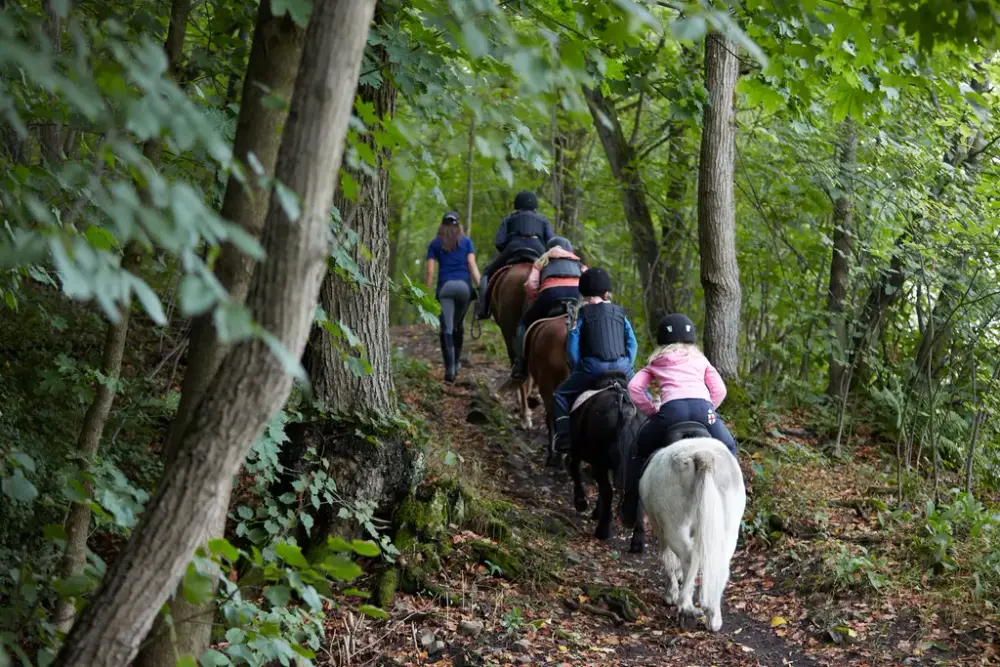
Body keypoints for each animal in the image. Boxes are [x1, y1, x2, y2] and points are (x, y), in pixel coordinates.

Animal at [568, 370, 644, 552]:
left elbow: (575, 469)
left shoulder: (578, 451)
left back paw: (602, 530)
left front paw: (582, 503)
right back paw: (637, 542)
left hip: (599, 460)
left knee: (607, 490)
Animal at [640, 436, 744, 636]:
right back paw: (713, 616)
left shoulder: (660, 529)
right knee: (719, 565)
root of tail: (704, 456)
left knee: (688, 559)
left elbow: (668, 559)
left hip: (674, 525)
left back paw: (686, 610)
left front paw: (671, 594)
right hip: (728, 528)